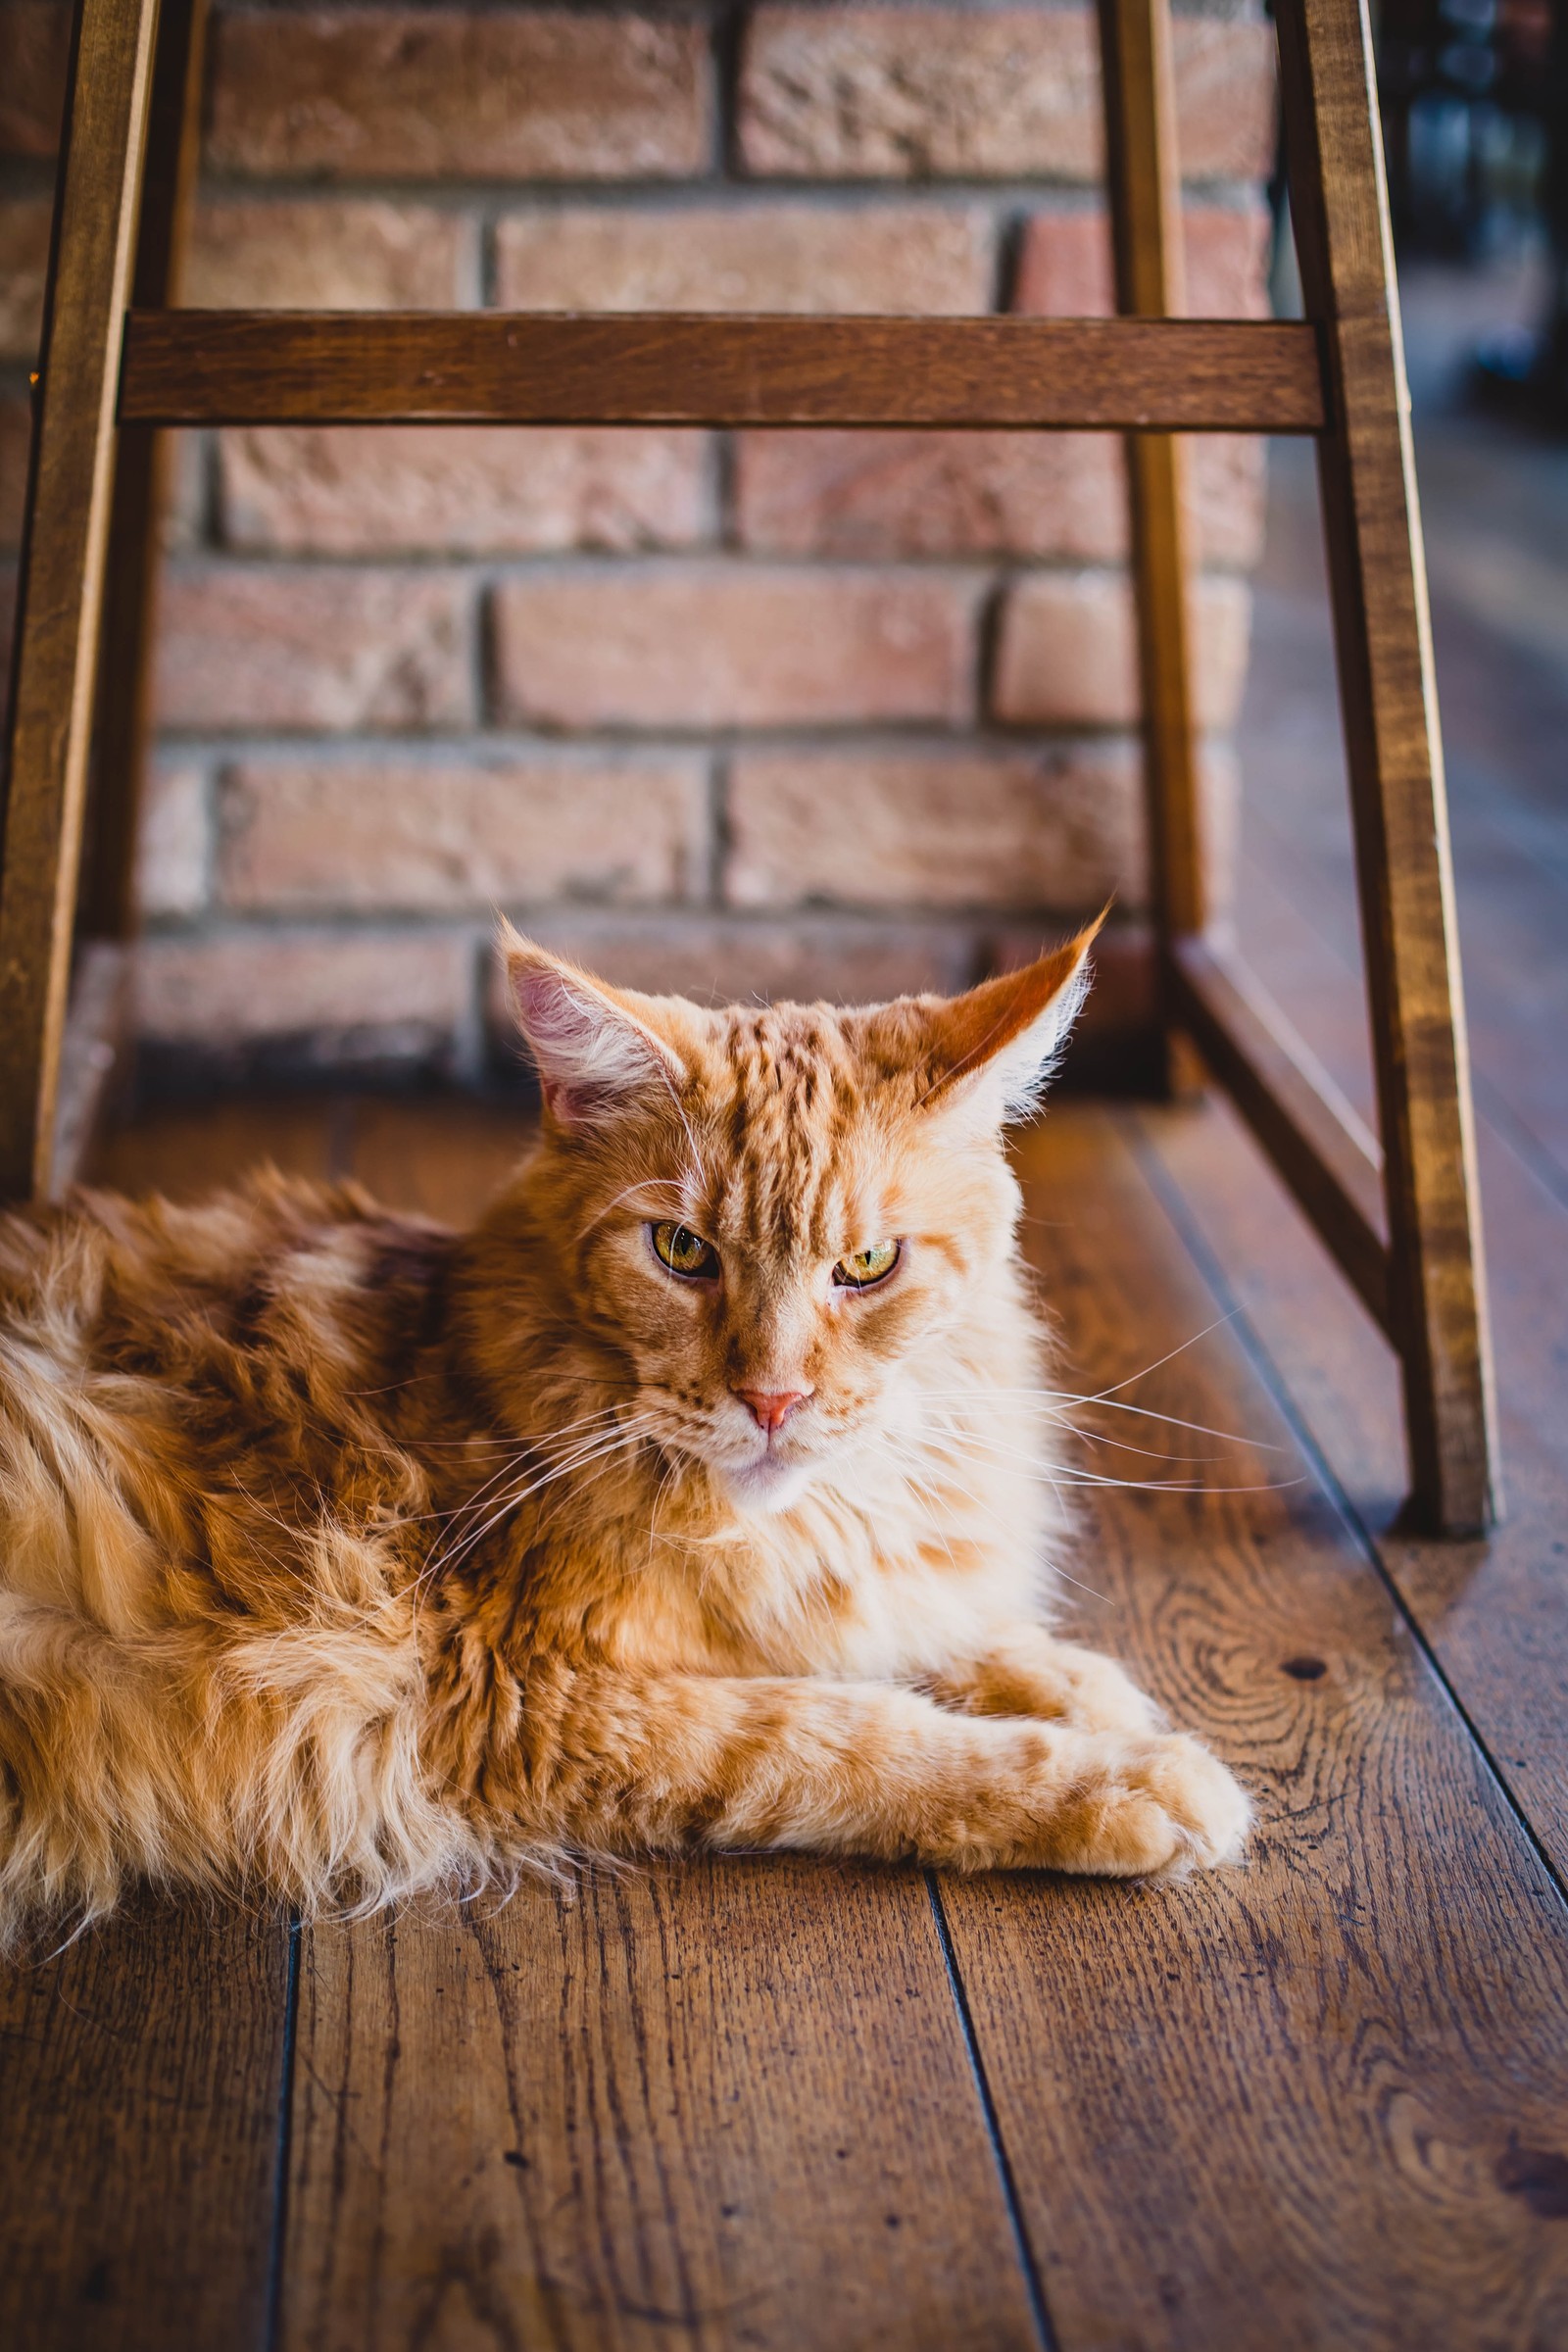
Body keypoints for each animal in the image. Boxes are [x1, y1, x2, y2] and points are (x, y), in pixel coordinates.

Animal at [0, 926, 1250, 1937]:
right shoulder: (518, 1695)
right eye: (682, 1252)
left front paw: (1072, 1682)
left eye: (865, 1264)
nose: (772, 1399)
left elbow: (926, 1637)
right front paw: (1119, 1781)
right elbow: (849, 1731)